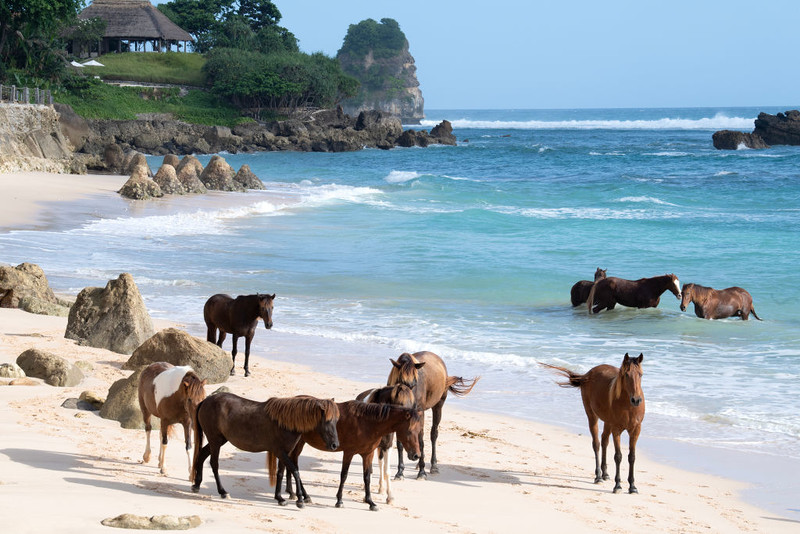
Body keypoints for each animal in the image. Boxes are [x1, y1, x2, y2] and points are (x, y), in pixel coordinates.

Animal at [192, 392, 340, 508]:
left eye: (336, 421)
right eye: (327, 421)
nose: (335, 445)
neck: (285, 422)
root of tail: (206, 401)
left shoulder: (284, 453)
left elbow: (280, 473)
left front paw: (280, 498)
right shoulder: (280, 452)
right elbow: (295, 471)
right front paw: (299, 500)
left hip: (218, 441)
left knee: (202, 455)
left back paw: (197, 485)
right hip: (215, 441)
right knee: (214, 464)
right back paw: (222, 492)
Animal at [282, 402, 422, 510]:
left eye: (419, 431)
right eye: (410, 431)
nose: (416, 455)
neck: (367, 423)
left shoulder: (368, 454)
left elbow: (367, 477)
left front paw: (370, 502)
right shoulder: (348, 452)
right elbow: (344, 475)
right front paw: (339, 501)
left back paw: (293, 493)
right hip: (298, 443)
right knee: (293, 465)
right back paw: (302, 495)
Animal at [384, 352, 478, 482]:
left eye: (414, 384)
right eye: (401, 383)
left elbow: (421, 441)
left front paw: (422, 472)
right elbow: (400, 443)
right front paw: (400, 472)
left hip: (438, 406)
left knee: (433, 434)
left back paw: (433, 466)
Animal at [540, 354, 648, 496]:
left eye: (641, 374)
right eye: (626, 374)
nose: (636, 400)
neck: (628, 406)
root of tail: (587, 374)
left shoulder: (635, 430)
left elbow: (632, 457)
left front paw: (632, 487)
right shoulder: (617, 430)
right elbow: (618, 456)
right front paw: (618, 486)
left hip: (607, 421)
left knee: (604, 441)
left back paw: (605, 474)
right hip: (592, 416)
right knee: (596, 443)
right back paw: (598, 477)